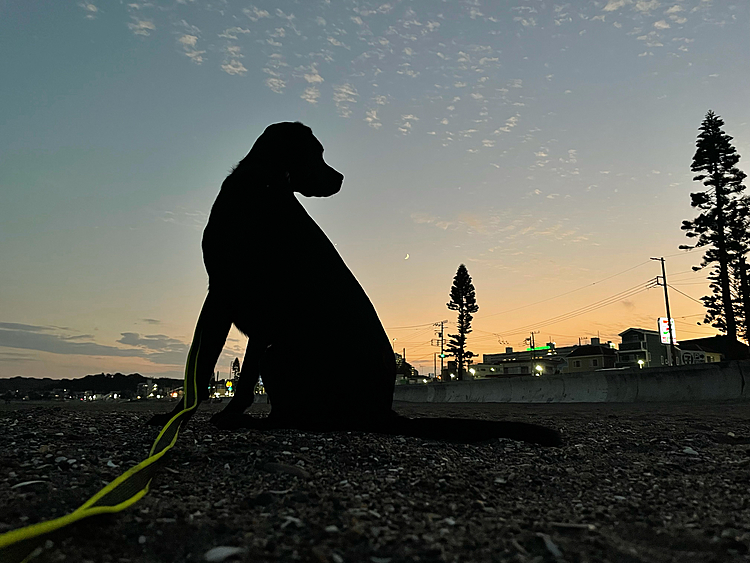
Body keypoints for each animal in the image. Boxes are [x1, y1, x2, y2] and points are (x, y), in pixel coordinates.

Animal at [150, 123, 564, 450]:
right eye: (315, 153)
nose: (341, 178)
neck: (263, 186)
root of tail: (383, 412)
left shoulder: (249, 307)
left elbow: (234, 376)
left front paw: (219, 415)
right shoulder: (220, 297)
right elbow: (199, 367)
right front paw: (176, 415)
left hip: (280, 350)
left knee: (299, 417)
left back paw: (253, 422)